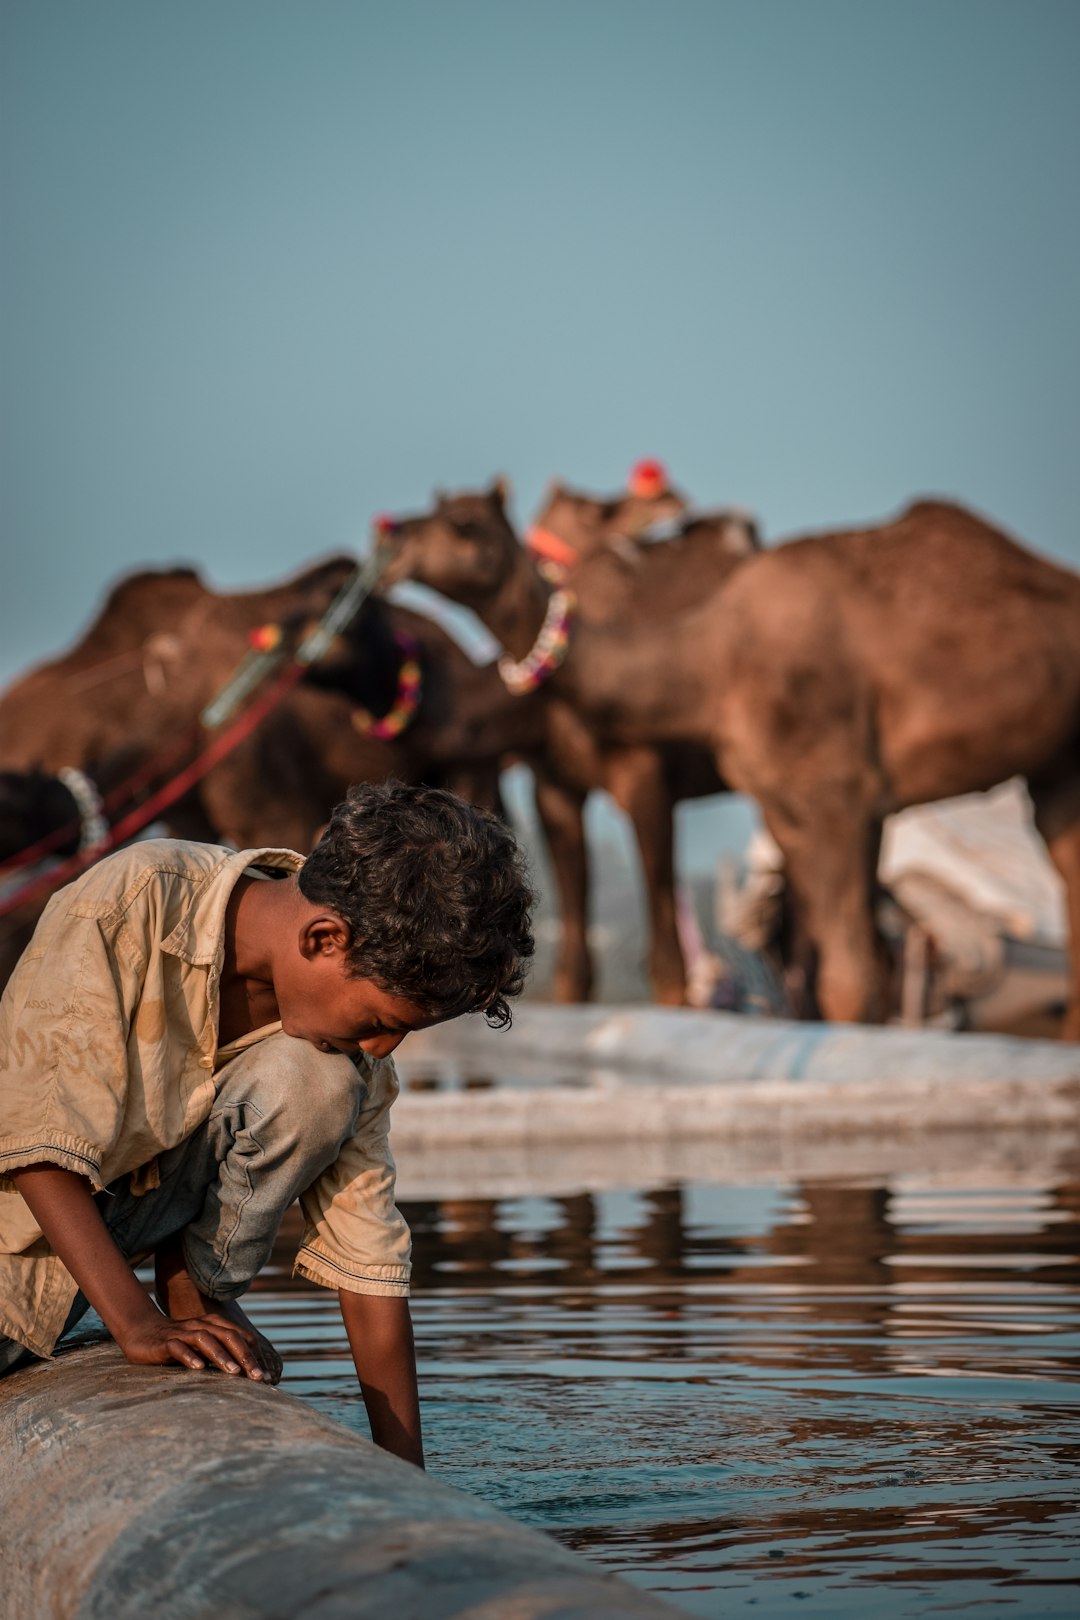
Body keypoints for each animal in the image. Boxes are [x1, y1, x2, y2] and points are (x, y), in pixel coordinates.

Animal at [375, 479, 1080, 1036]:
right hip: (1055, 769)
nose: (390, 538)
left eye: (463, 524)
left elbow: (849, 976)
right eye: (428, 511)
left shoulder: (832, 792)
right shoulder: (789, 802)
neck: (710, 661)